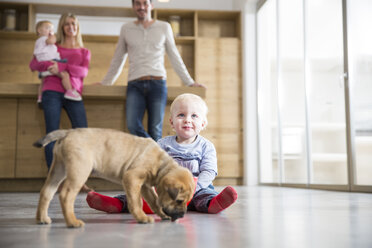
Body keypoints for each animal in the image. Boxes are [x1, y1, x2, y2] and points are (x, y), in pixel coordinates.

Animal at [33, 129, 195, 228]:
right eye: (179, 201)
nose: (182, 214)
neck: (161, 164)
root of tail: (67, 132)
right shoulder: (132, 178)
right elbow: (136, 202)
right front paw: (141, 217)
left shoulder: (145, 186)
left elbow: (155, 201)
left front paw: (162, 215)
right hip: (79, 171)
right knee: (66, 195)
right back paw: (73, 222)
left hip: (58, 170)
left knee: (46, 192)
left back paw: (42, 219)